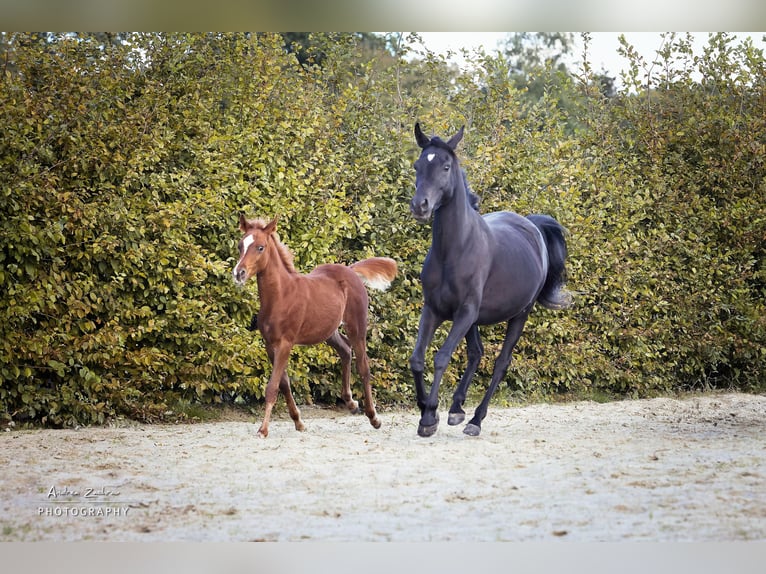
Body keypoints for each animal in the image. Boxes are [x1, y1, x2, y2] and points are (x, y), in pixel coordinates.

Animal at [234, 215, 402, 436]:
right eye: (240, 245)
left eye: (260, 247)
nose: (239, 273)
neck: (281, 295)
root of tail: (350, 270)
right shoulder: (270, 345)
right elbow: (284, 383)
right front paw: (298, 421)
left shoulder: (285, 343)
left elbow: (272, 387)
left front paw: (263, 430)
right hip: (328, 331)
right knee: (345, 350)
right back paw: (351, 403)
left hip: (357, 326)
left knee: (363, 366)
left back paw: (373, 417)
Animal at [412, 124, 572, 438]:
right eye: (418, 166)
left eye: (446, 167)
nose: (420, 206)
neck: (454, 250)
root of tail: (534, 226)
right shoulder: (434, 310)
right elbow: (417, 358)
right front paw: (428, 410)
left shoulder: (464, 312)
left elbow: (441, 357)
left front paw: (428, 418)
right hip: (474, 319)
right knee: (476, 353)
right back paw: (456, 410)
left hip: (519, 314)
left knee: (500, 362)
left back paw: (475, 420)